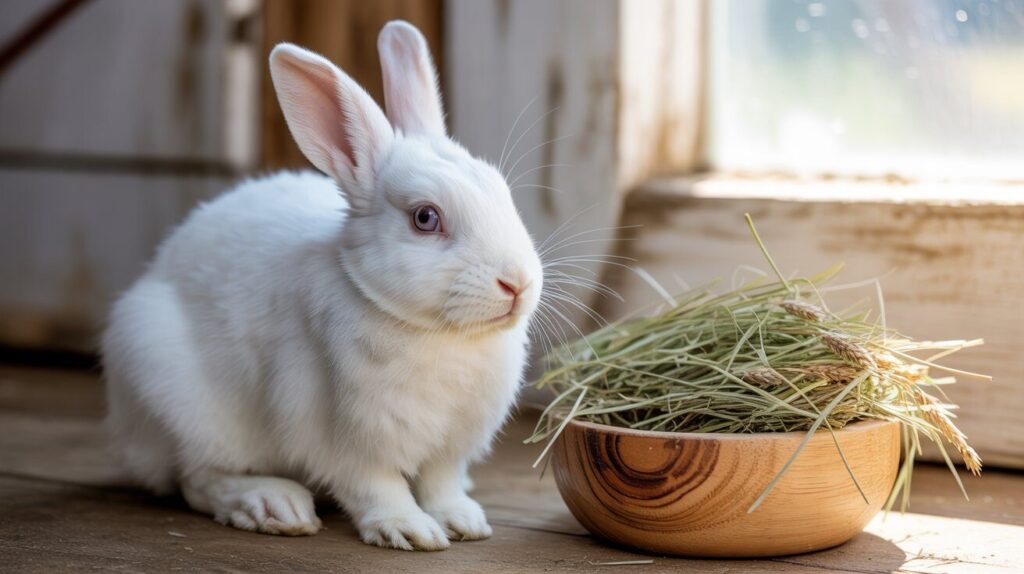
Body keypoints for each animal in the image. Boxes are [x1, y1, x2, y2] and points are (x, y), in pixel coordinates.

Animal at [102, 20, 543, 551]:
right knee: (198, 479)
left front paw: (463, 521)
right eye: (425, 218)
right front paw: (409, 530)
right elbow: (377, 486)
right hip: (180, 399)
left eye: (503, 193)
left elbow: (440, 483)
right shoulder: (343, 437)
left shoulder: (449, 446)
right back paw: (273, 505)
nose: (517, 283)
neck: (439, 333)